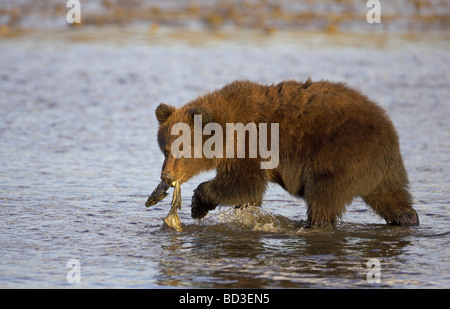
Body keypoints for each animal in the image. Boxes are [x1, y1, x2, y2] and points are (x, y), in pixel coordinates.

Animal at [156, 79, 420, 226]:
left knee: (323, 196)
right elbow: (247, 193)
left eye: (182, 148)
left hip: (340, 155)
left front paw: (198, 204)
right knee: (393, 198)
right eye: (165, 148)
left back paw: (314, 224)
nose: (166, 176)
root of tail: (388, 129)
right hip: (383, 171)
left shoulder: (251, 144)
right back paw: (407, 219)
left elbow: (243, 184)